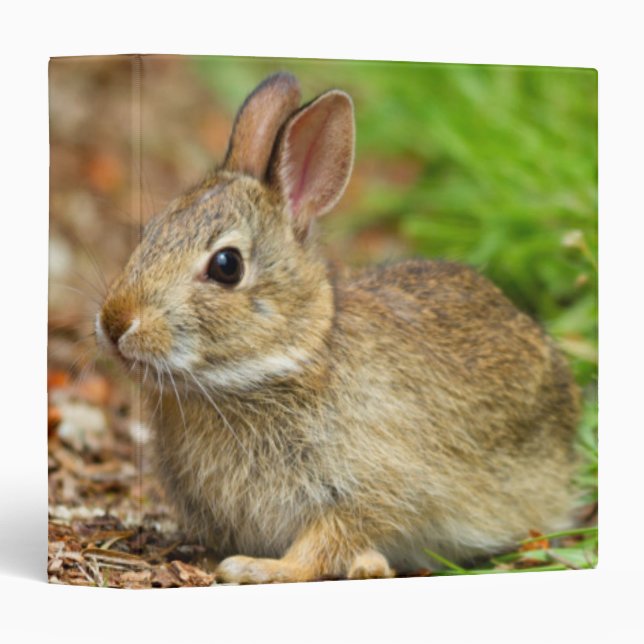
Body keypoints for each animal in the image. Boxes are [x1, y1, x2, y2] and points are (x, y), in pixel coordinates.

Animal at [97, 72, 580, 583]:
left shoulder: (373, 486)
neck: (279, 364)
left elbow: (326, 538)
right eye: (150, 232)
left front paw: (258, 569)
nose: (115, 322)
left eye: (227, 266)